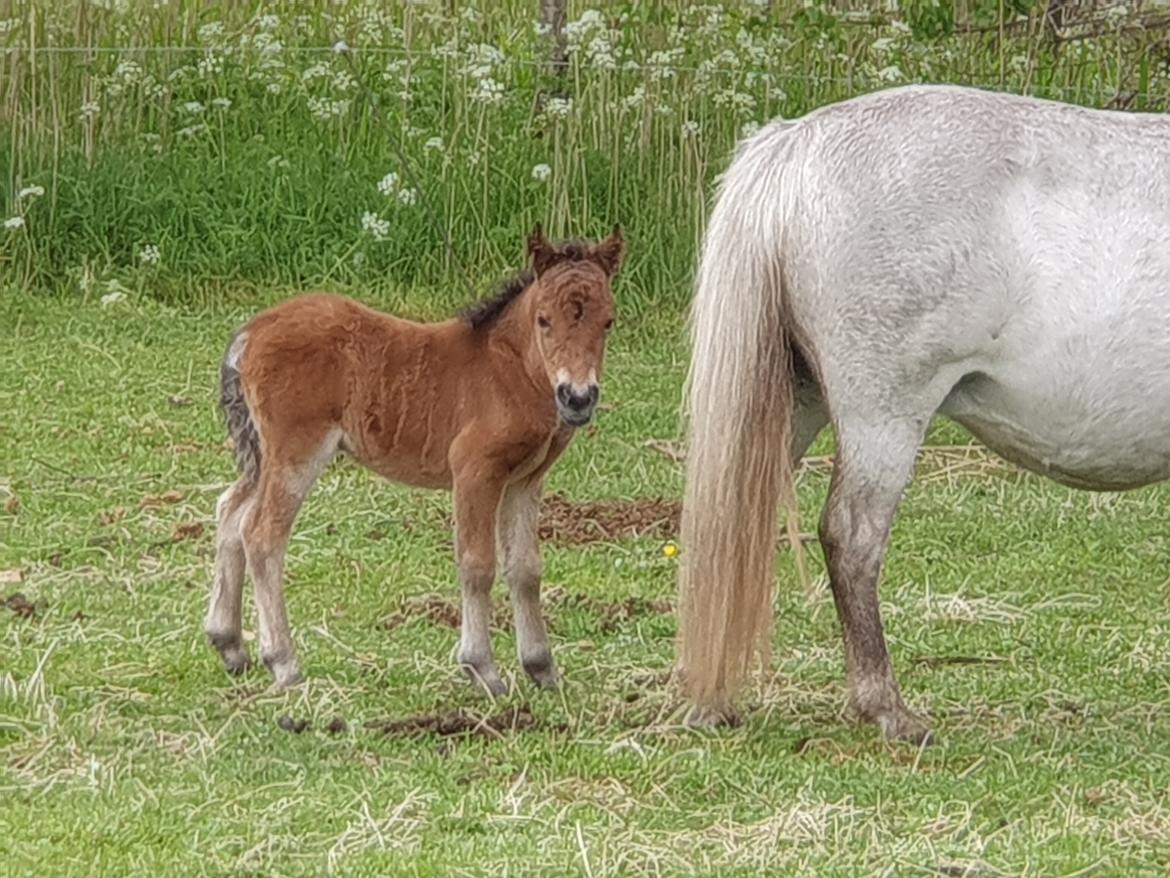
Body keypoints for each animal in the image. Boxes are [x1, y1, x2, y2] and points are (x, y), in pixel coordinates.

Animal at [203, 224, 622, 693]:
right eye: (544, 320)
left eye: (608, 321)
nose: (578, 398)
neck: (510, 371)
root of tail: (249, 333)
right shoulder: (475, 471)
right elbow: (477, 564)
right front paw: (482, 668)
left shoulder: (524, 480)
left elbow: (526, 568)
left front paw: (541, 667)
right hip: (296, 450)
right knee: (261, 533)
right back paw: (284, 662)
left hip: (262, 454)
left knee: (230, 511)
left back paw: (229, 644)